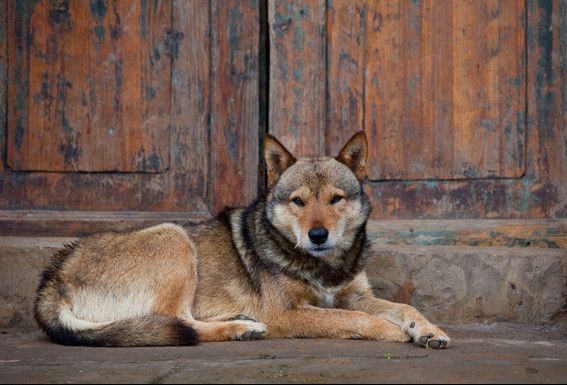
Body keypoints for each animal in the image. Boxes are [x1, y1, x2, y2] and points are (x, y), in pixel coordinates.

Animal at [34, 131, 452, 348]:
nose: (318, 235)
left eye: (335, 199)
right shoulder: (287, 314)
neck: (323, 265)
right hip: (174, 237)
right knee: (179, 323)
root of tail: (52, 279)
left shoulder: (356, 294)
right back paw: (242, 328)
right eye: (299, 201)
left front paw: (429, 330)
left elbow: (403, 307)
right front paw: (391, 331)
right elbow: (352, 317)